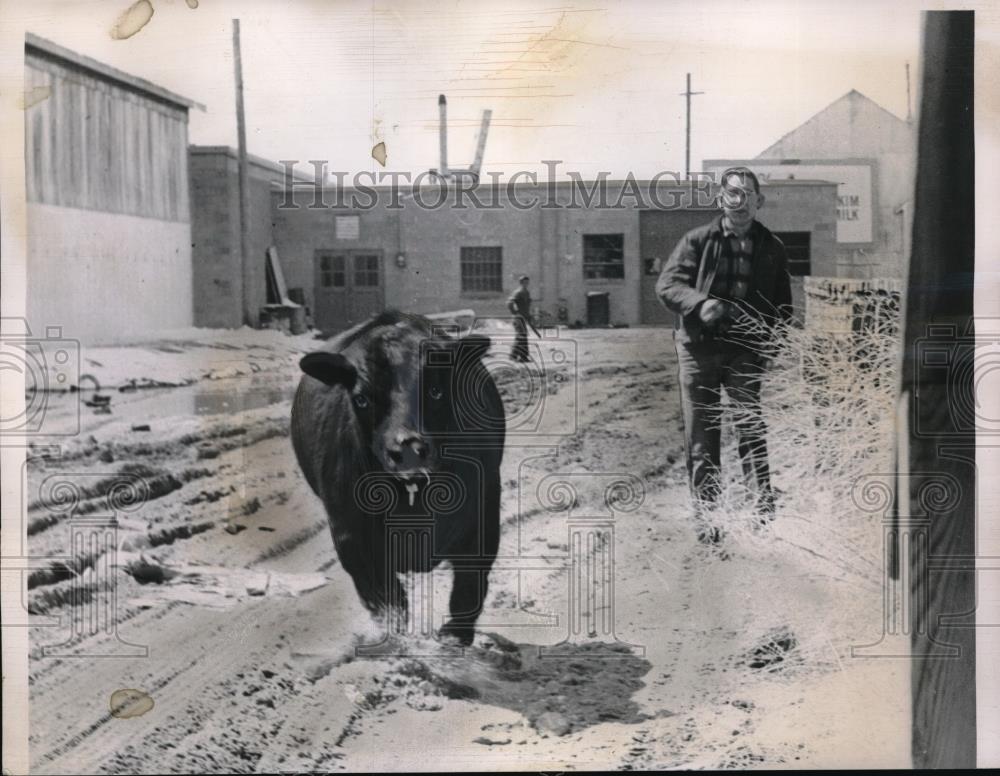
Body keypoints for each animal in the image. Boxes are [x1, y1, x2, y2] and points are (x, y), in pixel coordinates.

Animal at [292, 310, 504, 644]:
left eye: (436, 391)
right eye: (362, 398)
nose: (407, 448)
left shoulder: (483, 521)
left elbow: (467, 590)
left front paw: (455, 637)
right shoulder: (352, 537)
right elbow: (388, 602)